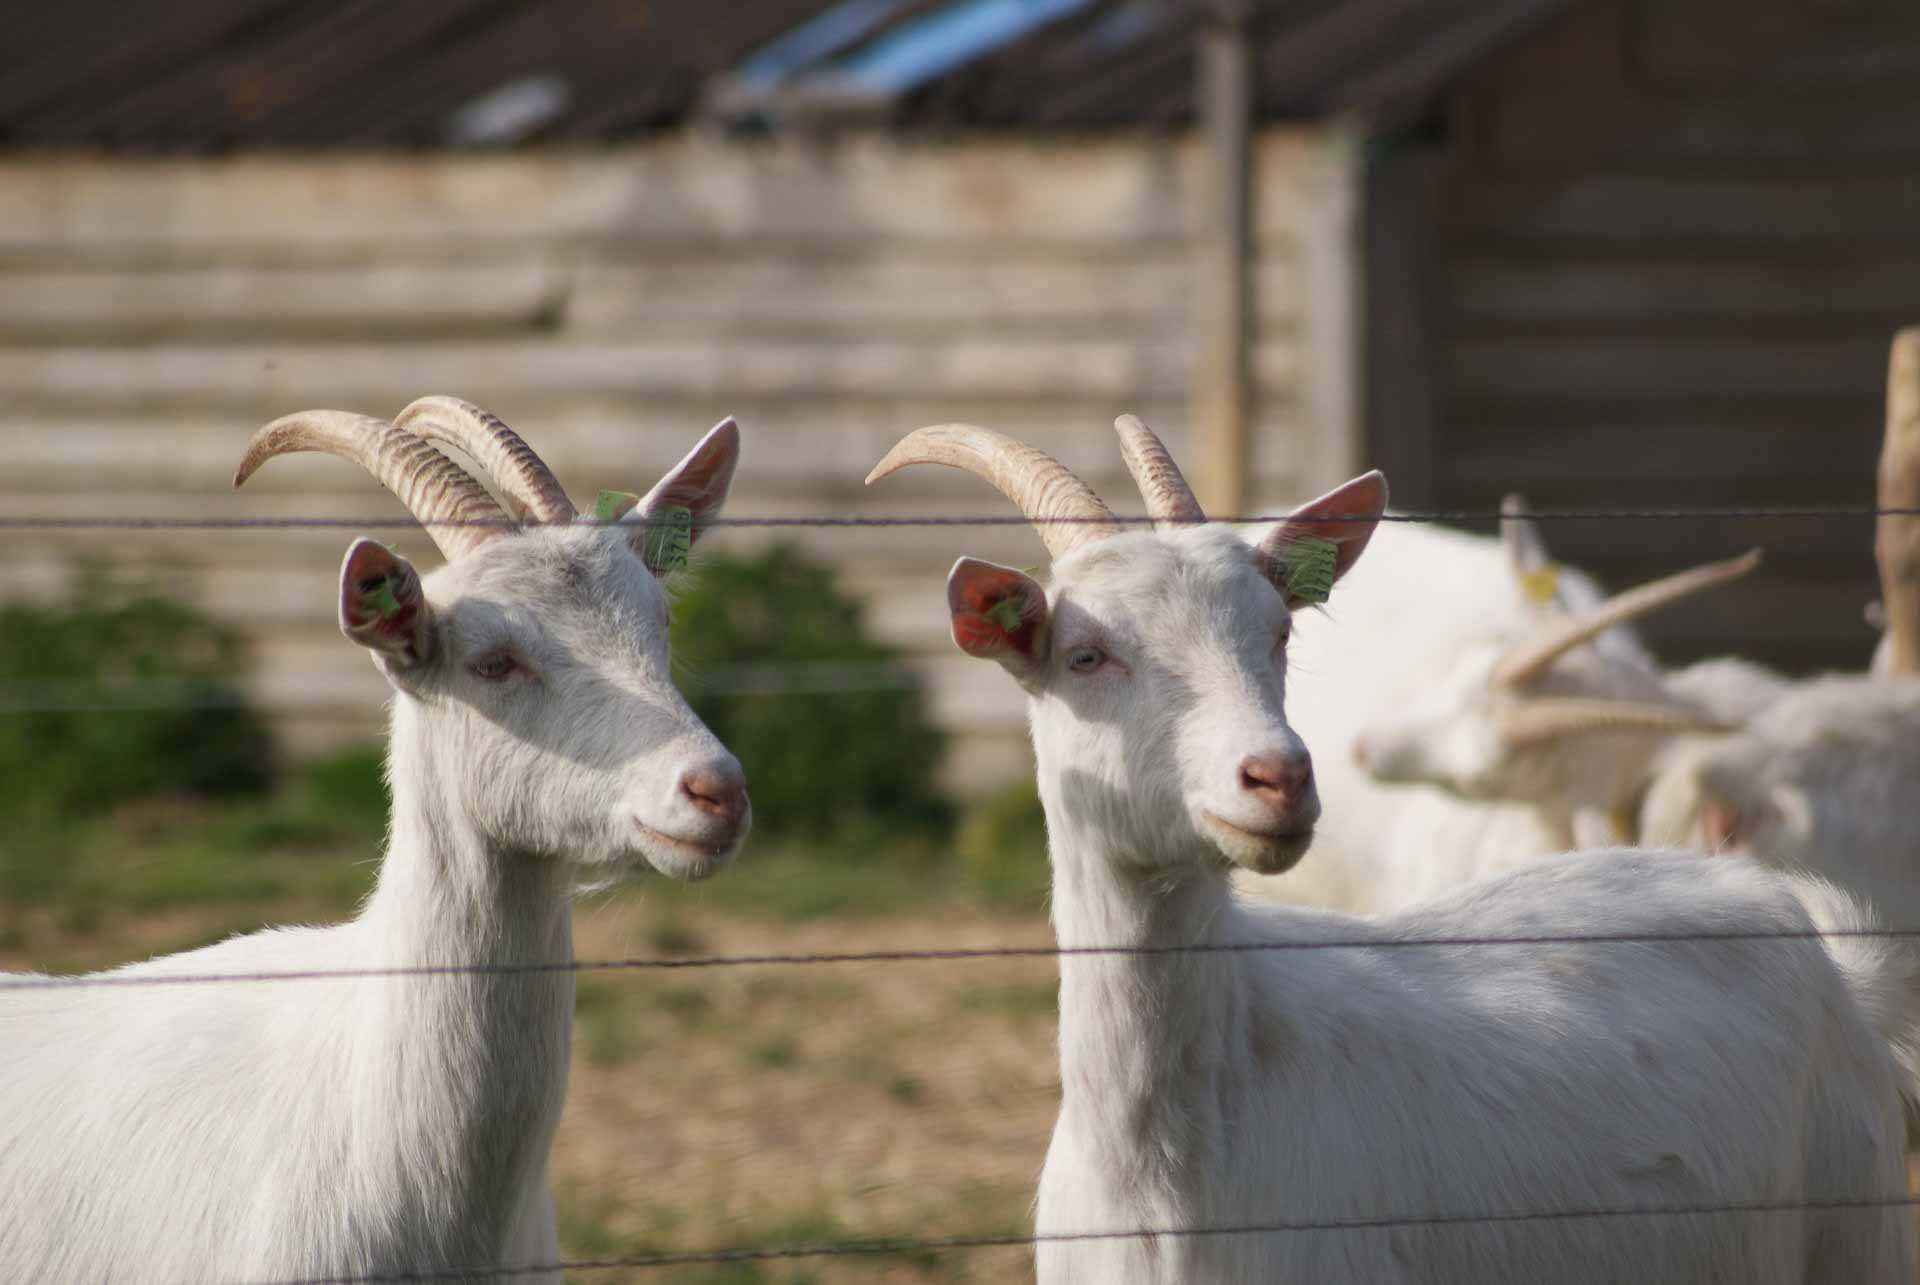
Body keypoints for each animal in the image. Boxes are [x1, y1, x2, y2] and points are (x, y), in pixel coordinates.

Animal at [869, 414, 1916, 1284]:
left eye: (1279, 631)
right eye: (1085, 654)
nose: (1279, 776)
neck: (1170, 1179)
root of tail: (1823, 952)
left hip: (1853, 1224)